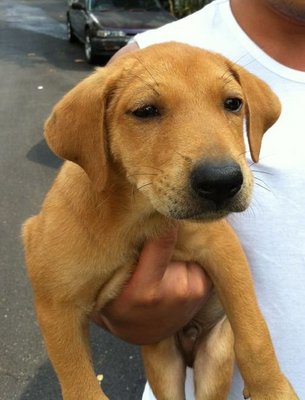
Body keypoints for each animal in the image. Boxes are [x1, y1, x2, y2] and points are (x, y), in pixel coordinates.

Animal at [23, 42, 296, 398]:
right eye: (146, 111)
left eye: (233, 104)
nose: (222, 182)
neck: (137, 217)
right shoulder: (56, 306)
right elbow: (80, 384)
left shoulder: (223, 249)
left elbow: (254, 330)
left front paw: (272, 388)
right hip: (161, 359)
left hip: (215, 357)